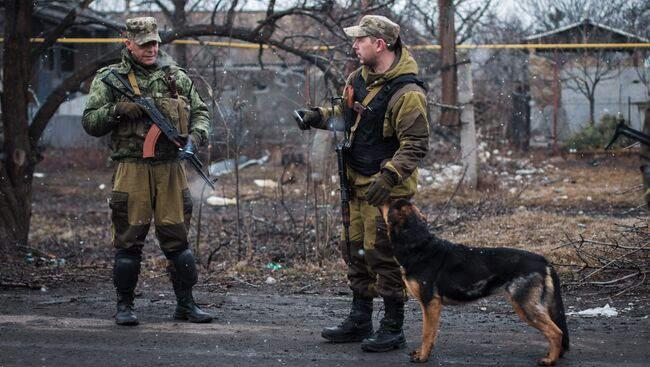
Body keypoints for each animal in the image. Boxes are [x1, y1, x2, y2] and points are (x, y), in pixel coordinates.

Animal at [380, 200, 568, 366]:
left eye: (389, 202)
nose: (378, 198)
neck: (417, 243)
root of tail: (544, 261)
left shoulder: (430, 303)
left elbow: (427, 333)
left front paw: (423, 357)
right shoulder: (431, 306)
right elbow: (430, 333)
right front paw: (423, 353)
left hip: (525, 306)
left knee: (556, 332)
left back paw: (550, 360)